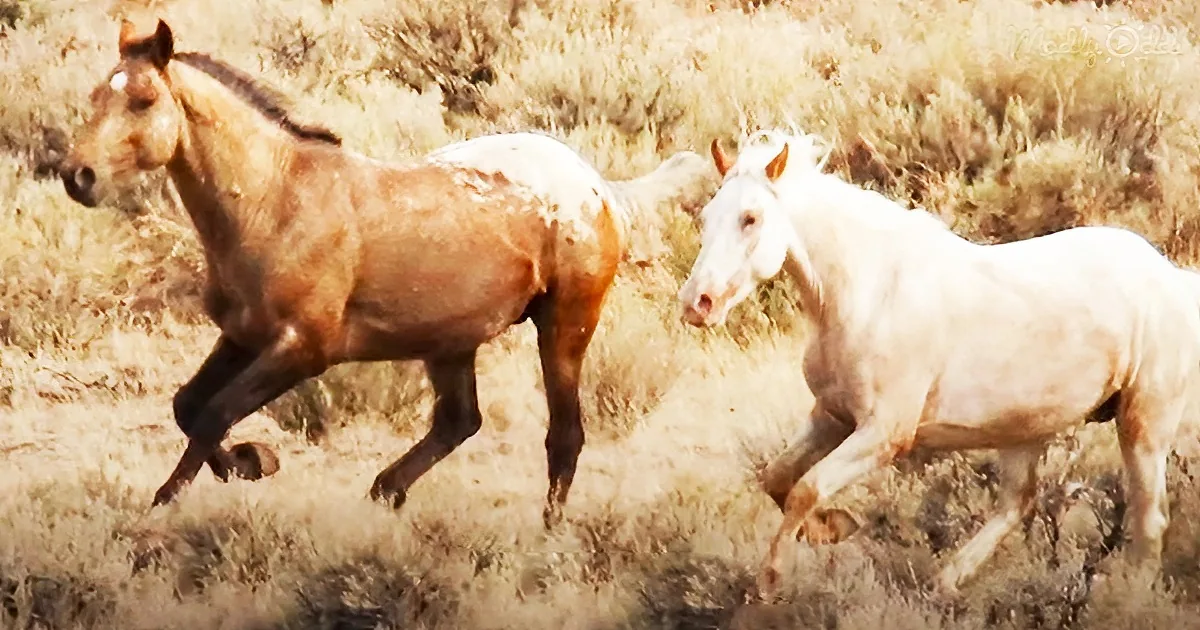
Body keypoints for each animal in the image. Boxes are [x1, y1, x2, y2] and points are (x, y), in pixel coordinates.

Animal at [58, 18, 711, 529]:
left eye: (143, 100)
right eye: (96, 96)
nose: (77, 175)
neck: (277, 201)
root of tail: (598, 185)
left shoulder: (303, 348)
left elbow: (214, 413)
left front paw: (176, 497)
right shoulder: (242, 336)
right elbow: (188, 406)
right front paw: (251, 462)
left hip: (565, 325)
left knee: (563, 435)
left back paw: (545, 534)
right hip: (451, 342)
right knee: (460, 421)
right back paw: (385, 490)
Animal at [673, 127, 1200, 598]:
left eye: (751, 218)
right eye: (707, 217)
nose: (697, 304)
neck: (867, 294)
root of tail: (1170, 275)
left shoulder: (884, 433)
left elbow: (808, 487)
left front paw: (771, 581)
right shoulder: (831, 416)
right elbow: (779, 479)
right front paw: (834, 528)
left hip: (1142, 423)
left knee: (1149, 519)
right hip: (1025, 428)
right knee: (1018, 503)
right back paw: (943, 585)